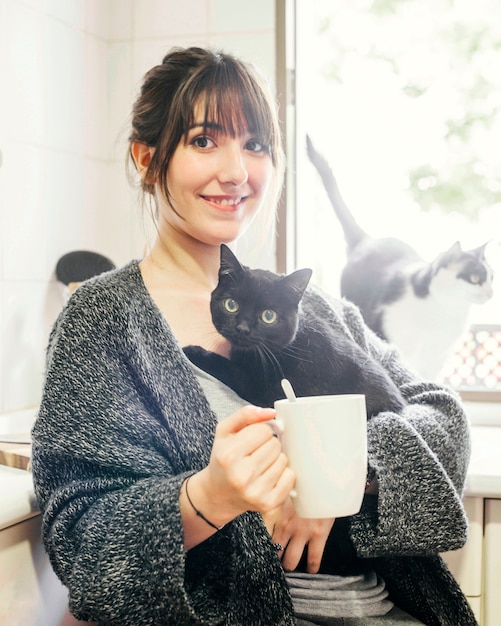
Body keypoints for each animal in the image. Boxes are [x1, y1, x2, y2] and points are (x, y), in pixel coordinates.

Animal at [184, 241, 406, 416]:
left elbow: (227, 366)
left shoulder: (262, 391)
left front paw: (193, 351)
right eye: (231, 305)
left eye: (268, 316)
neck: (291, 348)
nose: (242, 329)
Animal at [304, 135, 492, 380]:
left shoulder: (436, 359)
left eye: (492, 278)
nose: (490, 293)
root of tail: (367, 240)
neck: (446, 312)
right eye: (474, 278)